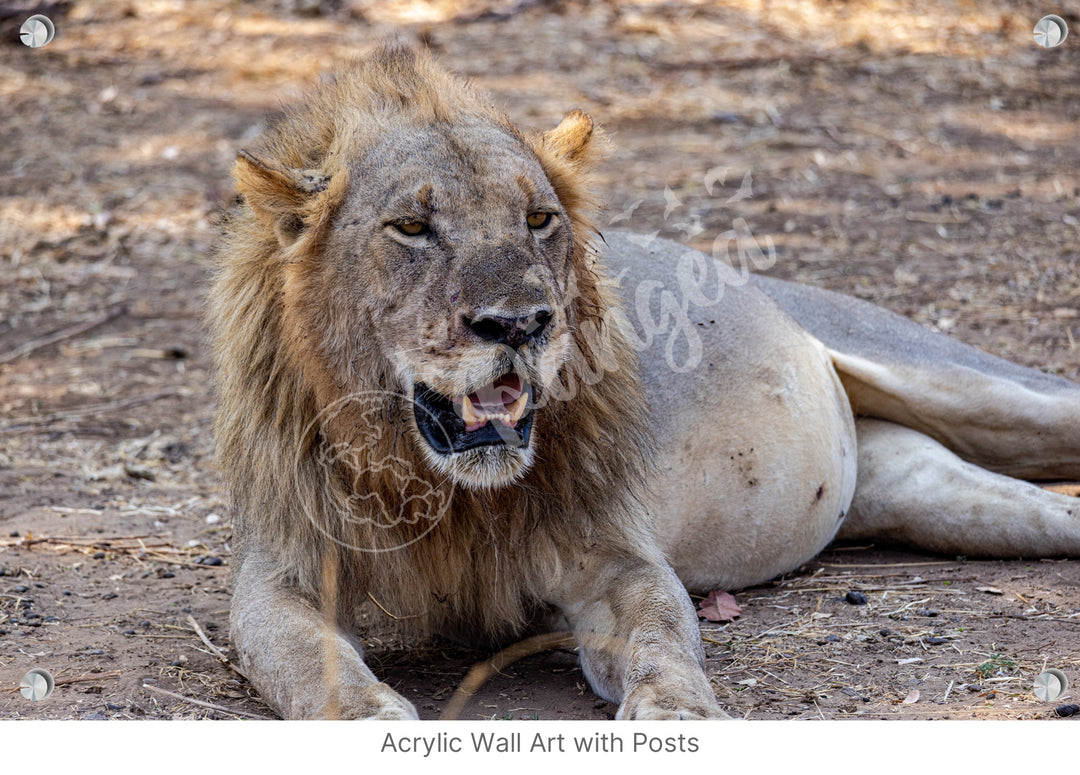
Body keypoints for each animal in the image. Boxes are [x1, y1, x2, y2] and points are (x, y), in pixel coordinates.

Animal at [204, 42, 1080, 721]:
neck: (448, 494)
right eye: (412, 228)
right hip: (936, 495)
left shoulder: (615, 555)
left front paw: (679, 709)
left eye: (538, 219)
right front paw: (368, 714)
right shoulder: (281, 573)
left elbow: (662, 634)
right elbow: (310, 660)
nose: (520, 323)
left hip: (973, 386)